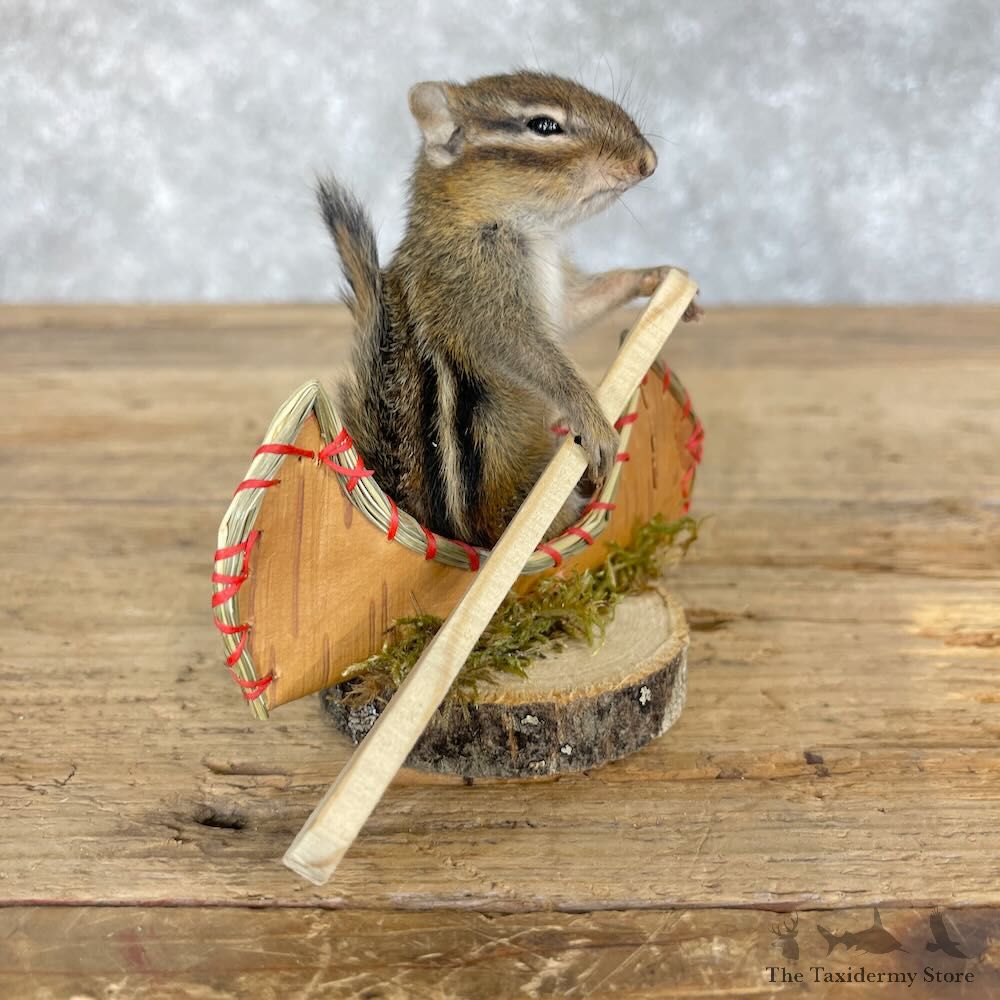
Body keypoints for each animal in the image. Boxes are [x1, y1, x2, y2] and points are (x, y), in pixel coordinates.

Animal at [318, 71, 700, 548]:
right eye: (543, 126)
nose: (647, 161)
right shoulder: (484, 300)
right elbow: (535, 357)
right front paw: (591, 418)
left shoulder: (559, 294)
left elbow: (584, 305)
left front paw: (656, 276)